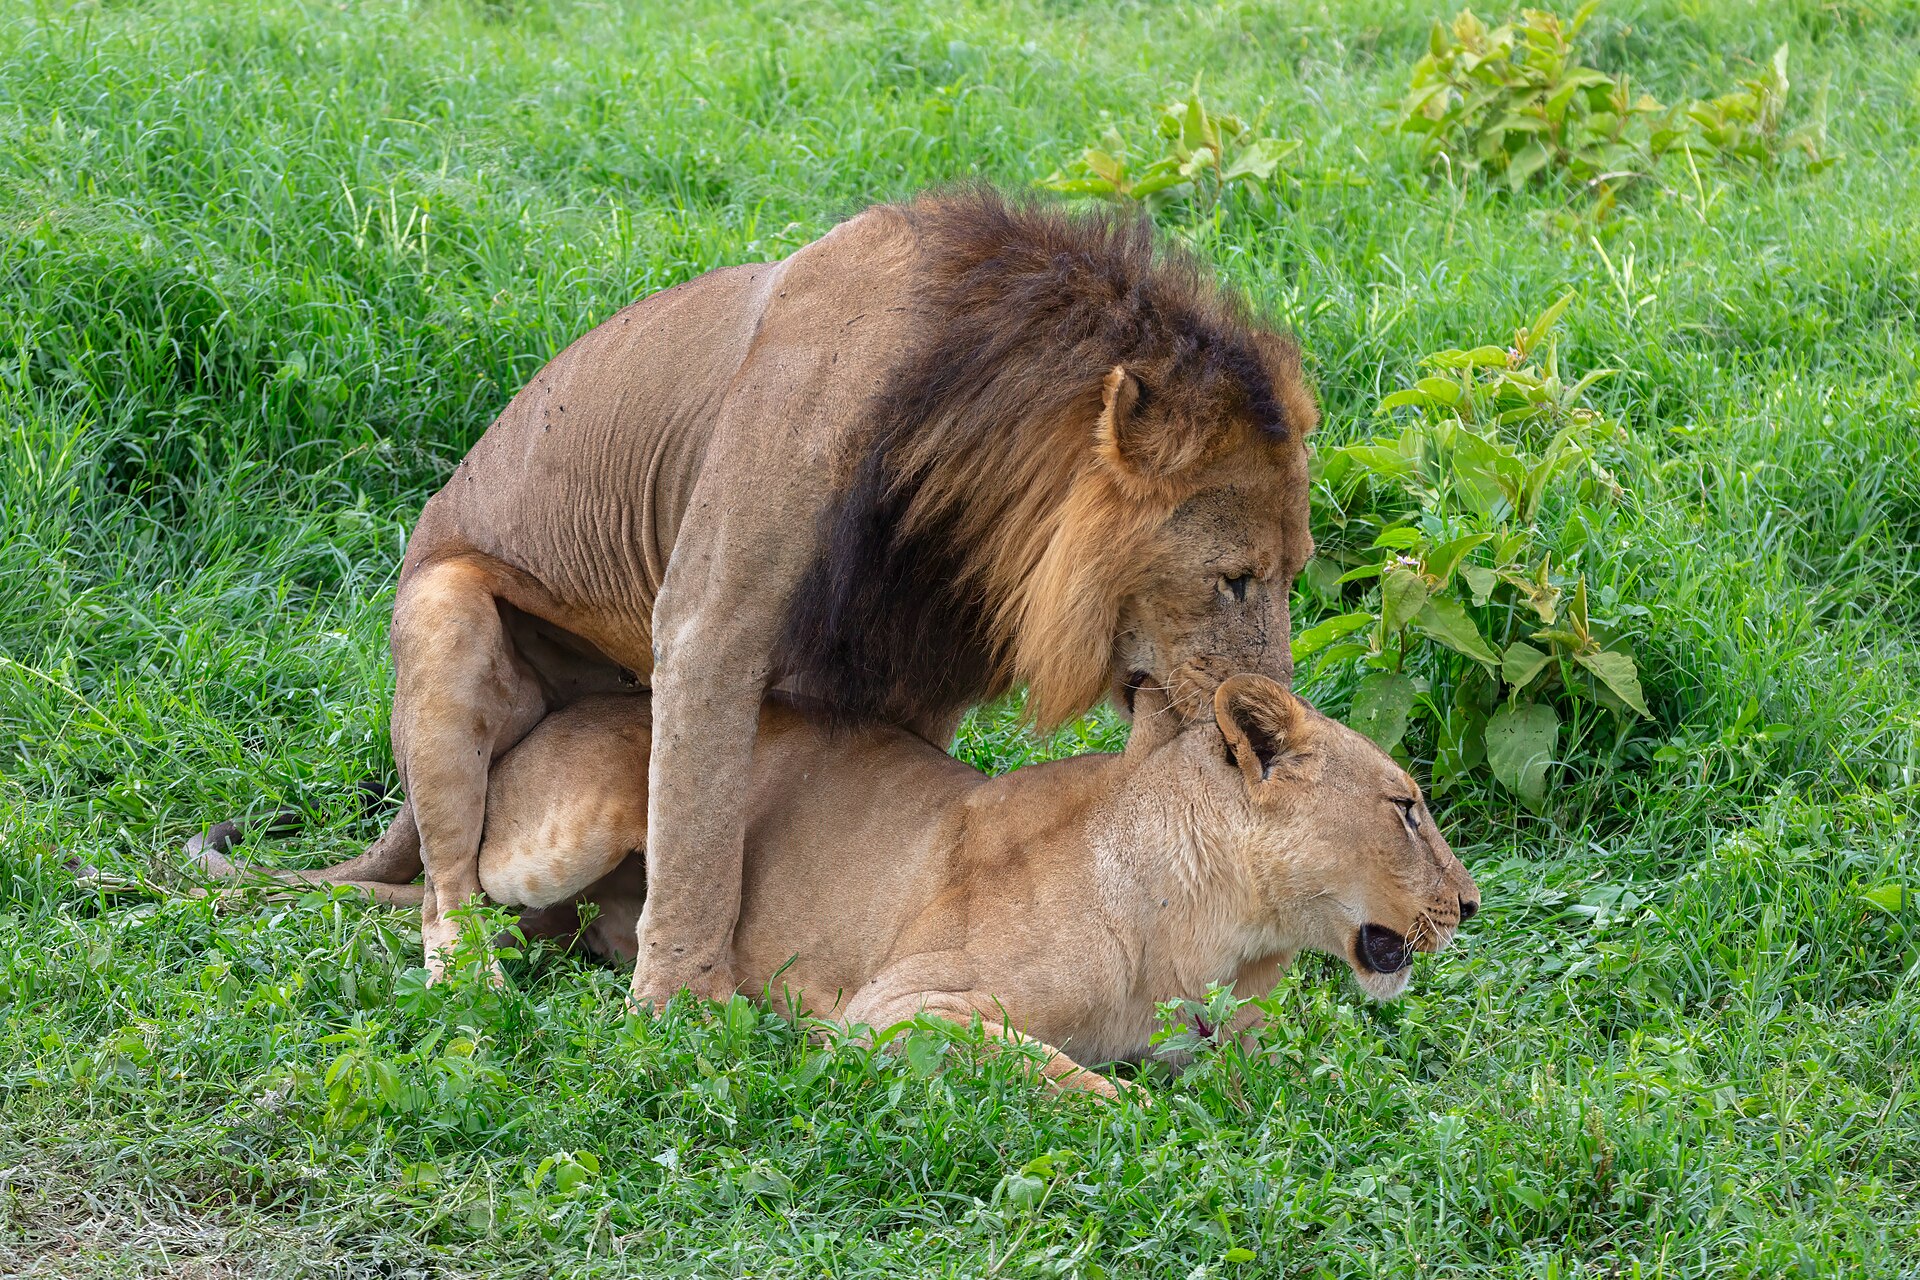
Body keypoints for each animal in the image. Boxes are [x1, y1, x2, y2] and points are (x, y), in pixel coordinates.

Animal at [207, 677, 1477, 1097]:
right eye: (1407, 805)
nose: (1471, 908)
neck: (1226, 930)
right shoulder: (902, 1008)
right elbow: (1064, 1074)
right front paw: (1144, 1118)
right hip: (588, 811)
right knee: (449, 882)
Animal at [296, 187, 1319, 1007]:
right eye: (1235, 580)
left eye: (1298, 570)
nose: (1267, 716)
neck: (957, 482)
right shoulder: (710, 619)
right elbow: (700, 832)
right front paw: (682, 1008)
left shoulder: (911, 669)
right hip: (448, 614)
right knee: (445, 885)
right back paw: (474, 977)